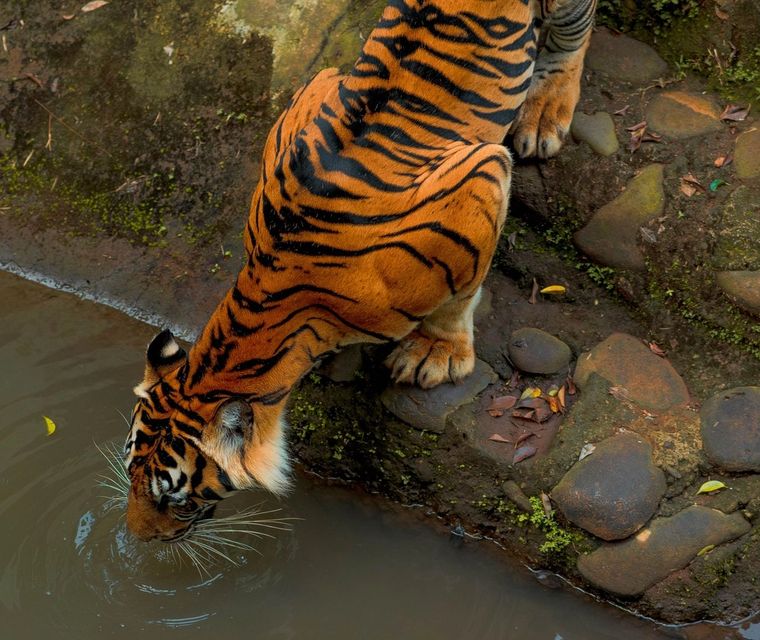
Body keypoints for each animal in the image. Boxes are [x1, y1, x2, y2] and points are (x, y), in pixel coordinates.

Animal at [124, 0, 597, 542]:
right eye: (130, 469)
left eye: (176, 499)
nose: (136, 538)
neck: (266, 292)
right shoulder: (314, 93)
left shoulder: (478, 183)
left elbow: (459, 297)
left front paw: (436, 354)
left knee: (571, 38)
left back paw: (543, 114)